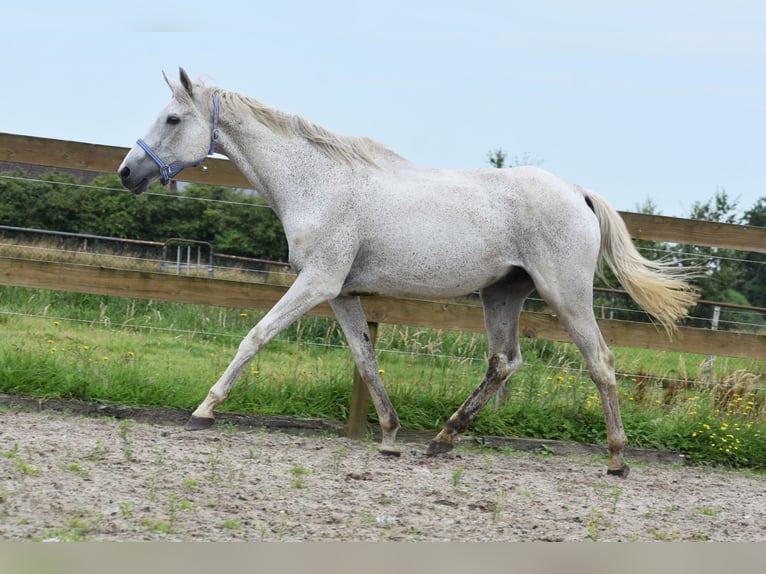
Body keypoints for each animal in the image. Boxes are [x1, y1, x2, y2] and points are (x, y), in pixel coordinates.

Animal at [117, 70, 700, 480]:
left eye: (173, 119)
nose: (127, 172)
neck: (316, 183)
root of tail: (577, 192)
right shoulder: (342, 293)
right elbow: (365, 360)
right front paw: (390, 436)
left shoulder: (317, 283)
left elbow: (255, 336)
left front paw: (203, 409)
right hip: (502, 294)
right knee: (503, 363)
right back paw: (441, 440)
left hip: (566, 293)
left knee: (600, 361)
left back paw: (617, 460)